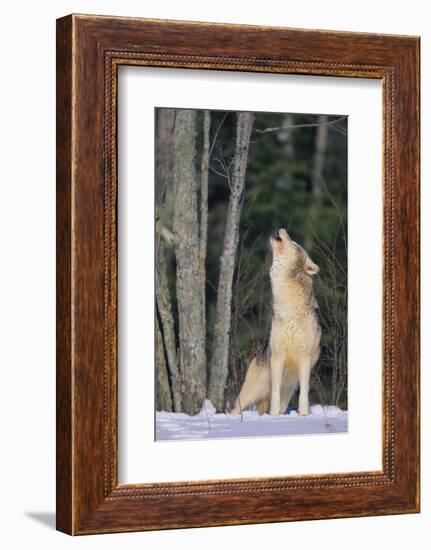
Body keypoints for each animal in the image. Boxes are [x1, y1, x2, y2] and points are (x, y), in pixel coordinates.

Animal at [233, 230, 320, 418]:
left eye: (294, 244)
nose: (282, 229)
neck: (289, 311)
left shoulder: (304, 356)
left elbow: (304, 393)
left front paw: (303, 416)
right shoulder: (278, 356)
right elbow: (275, 394)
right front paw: (273, 418)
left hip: (289, 388)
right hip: (252, 391)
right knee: (235, 408)